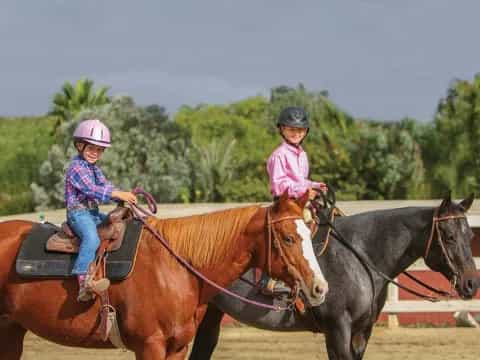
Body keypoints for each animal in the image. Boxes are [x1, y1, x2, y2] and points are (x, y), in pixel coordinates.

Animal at [0, 194, 326, 360]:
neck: (176, 268)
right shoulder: (150, 346)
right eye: (287, 238)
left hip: (11, 331)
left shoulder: (177, 348)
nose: (319, 287)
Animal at [189, 195, 478, 358]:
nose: (471, 283)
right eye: (449, 236)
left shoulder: (361, 331)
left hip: (211, 314)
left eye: (470, 235)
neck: (361, 255)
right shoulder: (338, 328)